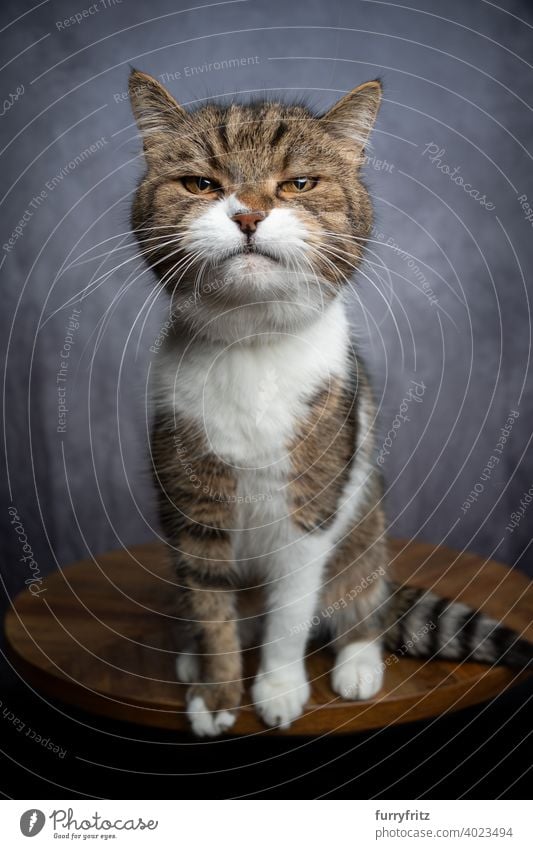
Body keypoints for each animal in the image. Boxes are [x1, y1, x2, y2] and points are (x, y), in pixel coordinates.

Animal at [128, 71, 528, 736]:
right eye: (201, 184)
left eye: (298, 184)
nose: (249, 213)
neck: (252, 346)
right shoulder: (192, 504)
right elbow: (211, 607)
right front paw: (216, 693)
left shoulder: (313, 507)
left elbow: (291, 613)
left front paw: (279, 687)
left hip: (365, 520)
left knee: (360, 600)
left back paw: (359, 660)